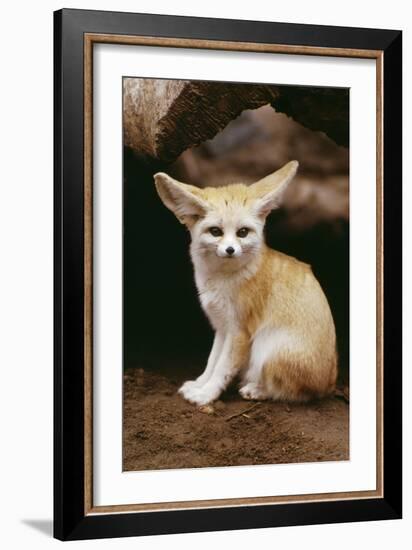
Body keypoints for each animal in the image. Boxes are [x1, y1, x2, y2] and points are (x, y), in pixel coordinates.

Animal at [153, 162, 336, 408]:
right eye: (216, 231)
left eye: (242, 232)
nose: (230, 250)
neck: (221, 279)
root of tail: (330, 384)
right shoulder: (221, 326)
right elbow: (212, 361)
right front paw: (199, 384)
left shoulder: (239, 331)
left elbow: (222, 368)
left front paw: (206, 394)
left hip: (266, 348)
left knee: (295, 393)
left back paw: (256, 390)